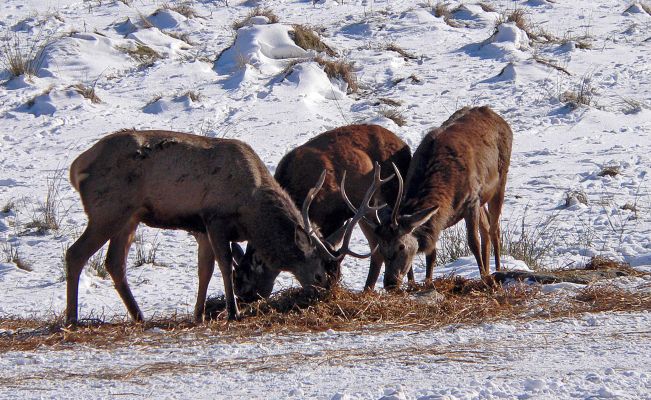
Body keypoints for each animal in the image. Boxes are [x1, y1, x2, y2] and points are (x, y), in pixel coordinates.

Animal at [65, 130, 366, 324]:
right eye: (319, 275)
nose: (325, 297)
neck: (252, 207)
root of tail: (76, 166)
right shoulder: (215, 218)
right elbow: (222, 265)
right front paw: (233, 312)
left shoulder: (201, 228)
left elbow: (204, 270)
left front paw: (198, 314)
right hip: (108, 210)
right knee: (75, 253)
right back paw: (72, 318)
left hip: (129, 217)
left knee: (114, 261)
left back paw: (139, 317)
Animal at [232, 124, 410, 300]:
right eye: (236, 283)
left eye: (248, 282)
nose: (244, 301)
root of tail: (403, 144)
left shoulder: (334, 217)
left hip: (386, 195)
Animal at [348, 106, 512, 288]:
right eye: (381, 249)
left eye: (401, 246)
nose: (390, 282)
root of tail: (494, 114)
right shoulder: (439, 219)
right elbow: (431, 253)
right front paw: (427, 281)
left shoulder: (472, 200)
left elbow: (473, 242)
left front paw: (484, 280)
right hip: (483, 197)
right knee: (486, 227)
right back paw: (490, 270)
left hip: (501, 178)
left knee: (494, 228)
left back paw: (497, 270)